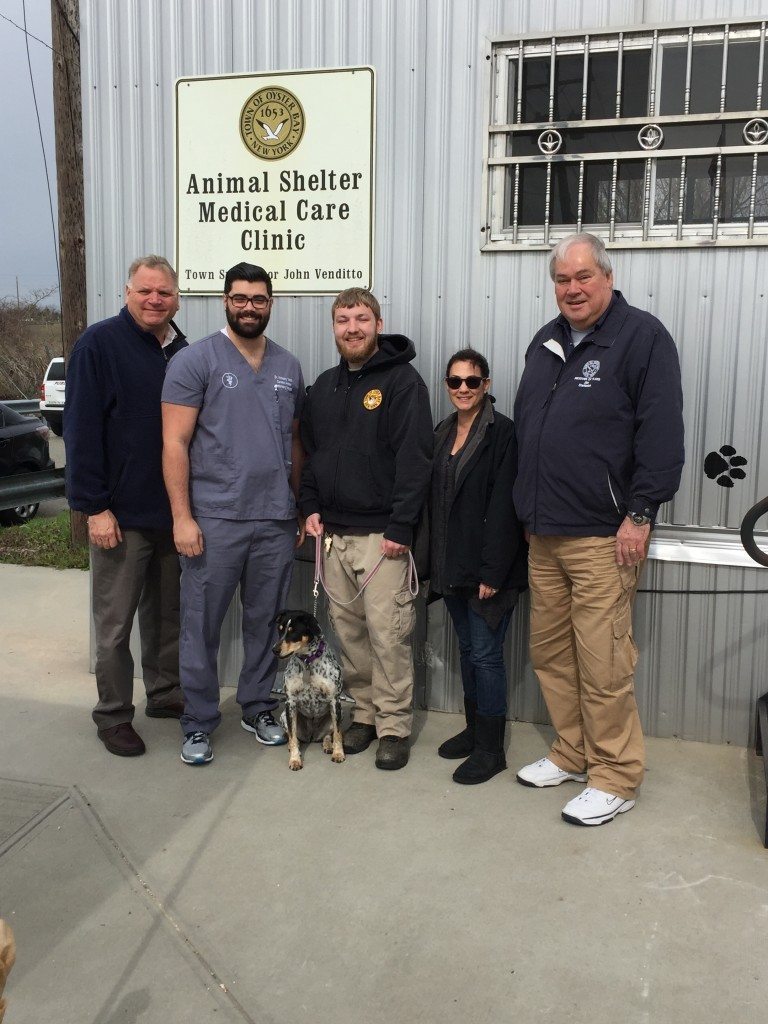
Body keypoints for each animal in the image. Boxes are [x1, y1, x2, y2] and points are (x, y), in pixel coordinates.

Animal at [268, 606, 344, 770]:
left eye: (294, 632)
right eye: (280, 629)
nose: (274, 650)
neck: (307, 661)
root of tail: (311, 736)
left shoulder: (335, 701)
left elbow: (338, 733)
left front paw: (338, 753)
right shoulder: (290, 702)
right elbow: (292, 736)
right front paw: (295, 759)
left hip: (333, 717)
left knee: (328, 735)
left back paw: (328, 745)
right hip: (284, 716)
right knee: (294, 737)